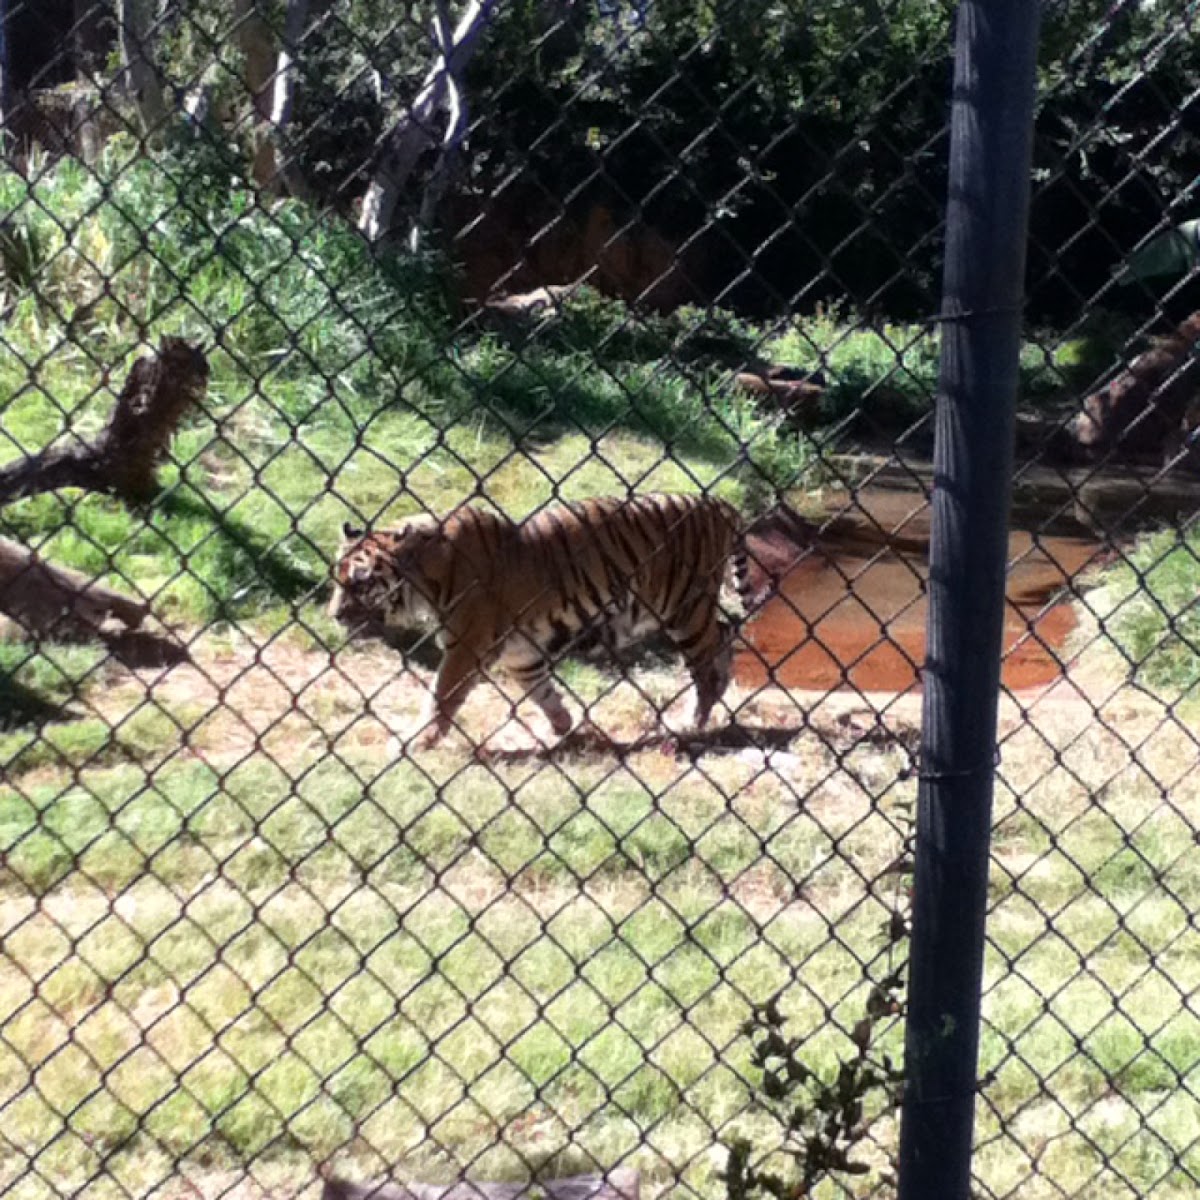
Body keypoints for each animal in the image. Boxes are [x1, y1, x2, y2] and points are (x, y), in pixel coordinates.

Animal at [329, 493, 763, 749]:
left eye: (360, 581)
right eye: (336, 579)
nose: (333, 615)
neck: (427, 575)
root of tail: (720, 503)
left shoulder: (466, 648)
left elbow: (440, 696)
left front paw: (416, 741)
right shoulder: (520, 653)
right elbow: (543, 692)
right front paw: (559, 727)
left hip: (685, 609)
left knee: (707, 663)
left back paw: (691, 722)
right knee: (725, 635)